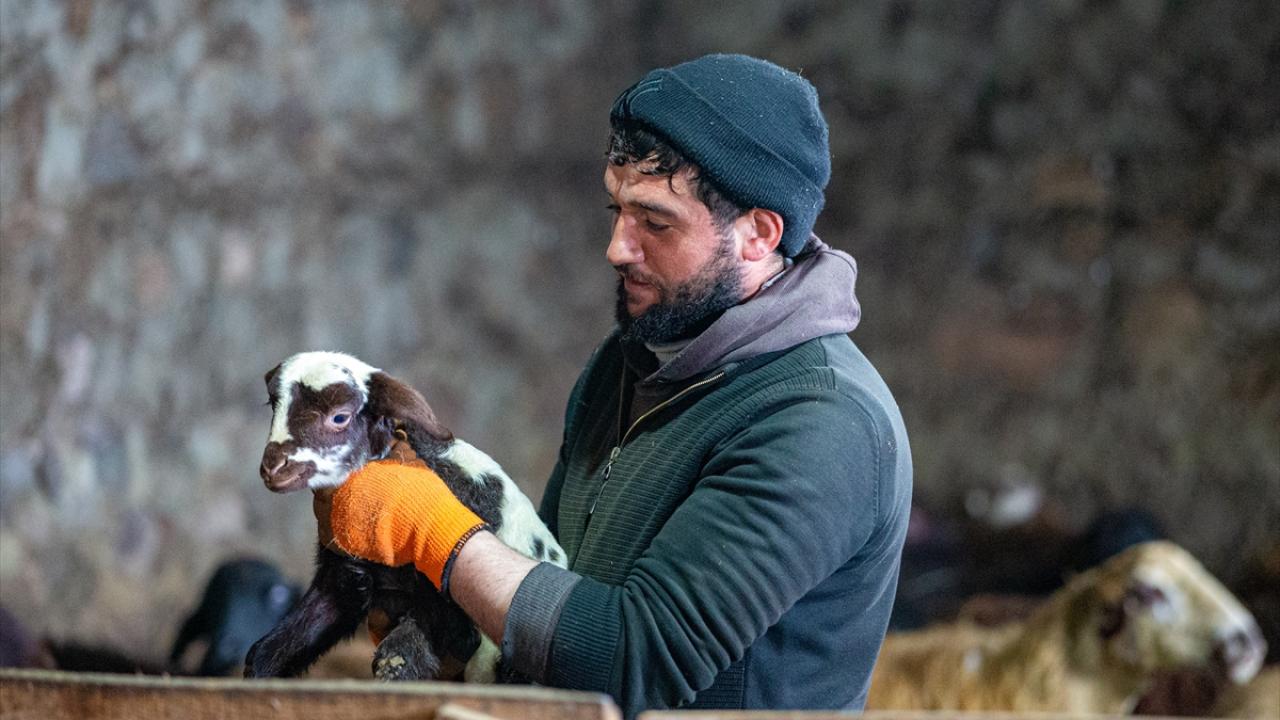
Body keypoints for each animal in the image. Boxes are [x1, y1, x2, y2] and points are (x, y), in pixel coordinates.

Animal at [243, 351, 566, 683]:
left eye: (340, 417)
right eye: (274, 405)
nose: (273, 467)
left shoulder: (450, 595)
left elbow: (411, 650)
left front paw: (397, 663)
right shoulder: (340, 578)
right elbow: (272, 650)